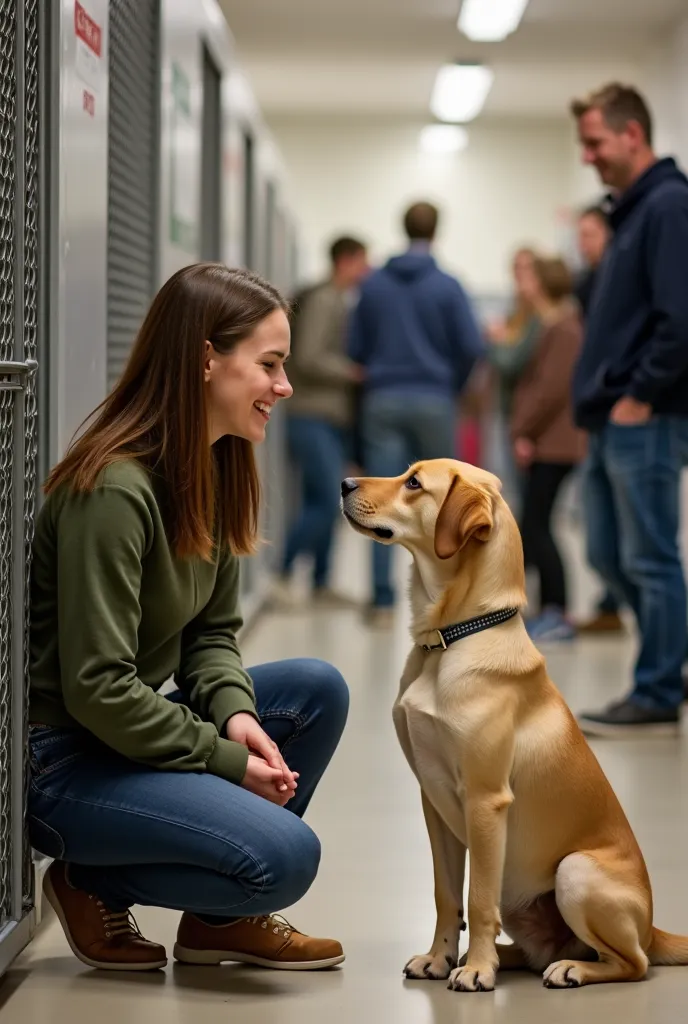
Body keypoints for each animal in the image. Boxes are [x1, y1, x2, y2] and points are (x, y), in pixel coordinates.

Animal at [341, 460, 688, 987]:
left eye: (414, 483)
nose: (344, 484)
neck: (450, 639)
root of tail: (652, 928)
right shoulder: (433, 800)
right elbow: (447, 894)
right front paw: (440, 958)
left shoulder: (485, 802)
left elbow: (477, 897)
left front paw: (476, 972)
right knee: (536, 951)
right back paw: (498, 957)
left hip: (575, 872)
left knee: (631, 963)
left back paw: (566, 969)